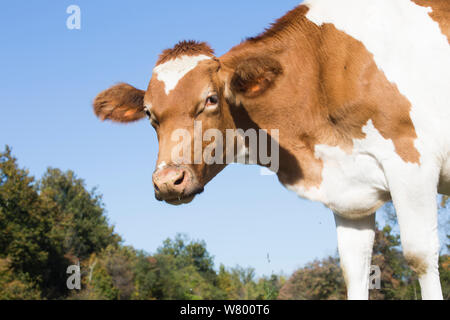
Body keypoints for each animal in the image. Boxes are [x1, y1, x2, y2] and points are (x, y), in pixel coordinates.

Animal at [93, 0, 448, 300]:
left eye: (211, 99)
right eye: (150, 113)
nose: (168, 181)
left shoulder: (411, 160)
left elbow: (420, 256)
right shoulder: (350, 193)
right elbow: (355, 271)